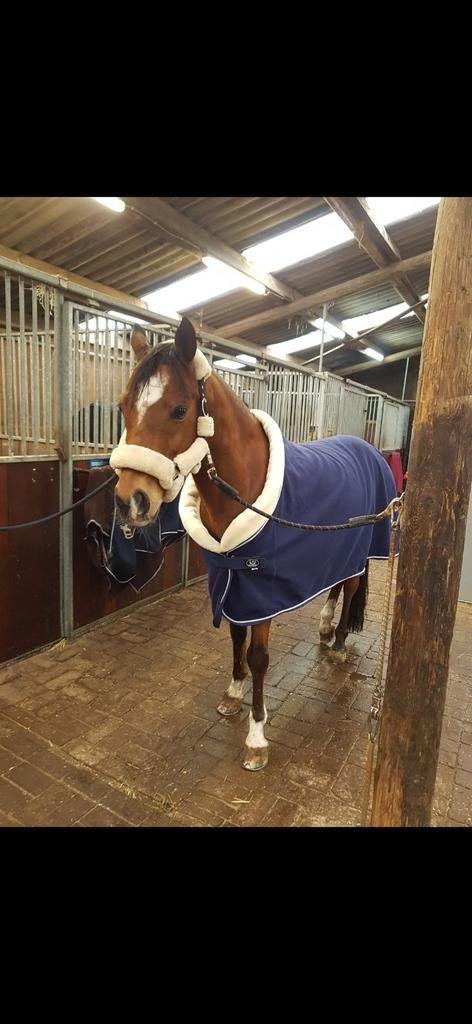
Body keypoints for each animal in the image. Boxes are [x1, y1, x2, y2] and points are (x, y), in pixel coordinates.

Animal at [111, 317, 396, 771]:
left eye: (178, 410)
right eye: (123, 407)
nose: (130, 502)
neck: (244, 486)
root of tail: (367, 448)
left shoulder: (263, 592)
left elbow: (259, 657)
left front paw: (257, 737)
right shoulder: (234, 583)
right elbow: (235, 640)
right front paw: (232, 695)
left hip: (358, 550)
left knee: (351, 587)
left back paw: (337, 644)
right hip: (335, 551)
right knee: (337, 585)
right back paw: (324, 627)